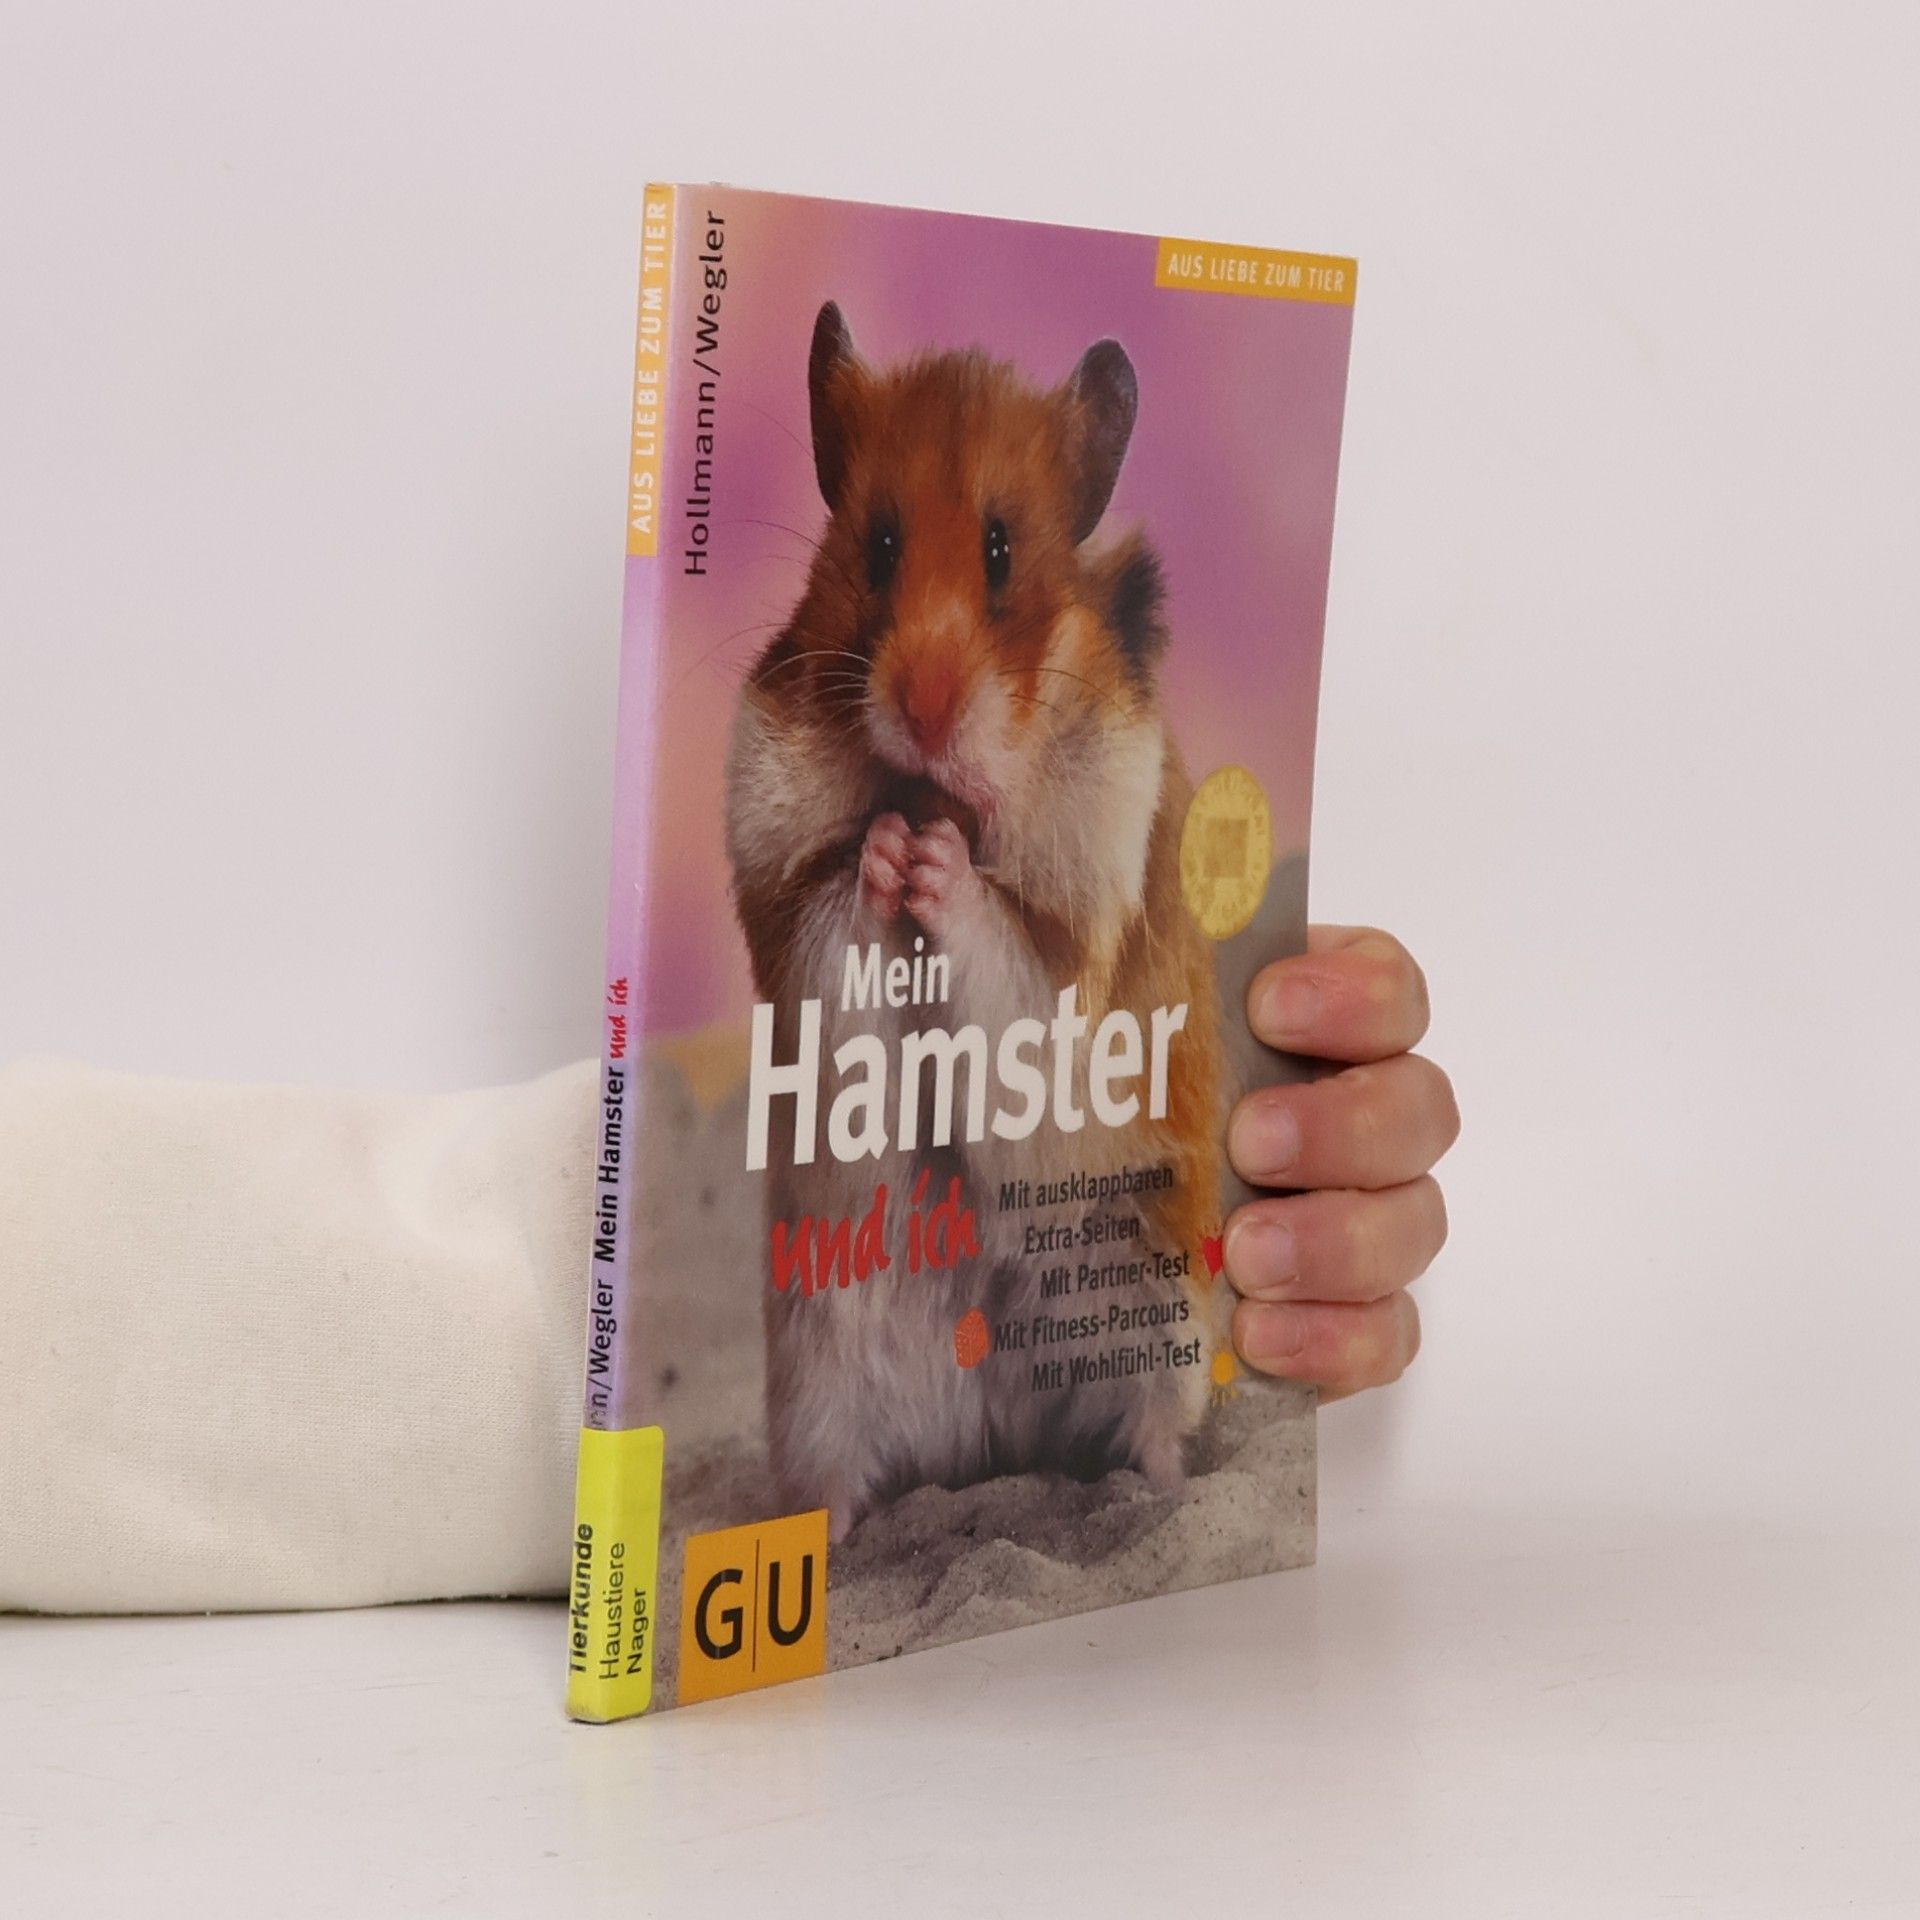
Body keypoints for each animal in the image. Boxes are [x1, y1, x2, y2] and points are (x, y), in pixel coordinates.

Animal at [724, 301, 1226, 1540]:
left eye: (1003, 551)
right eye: (878, 546)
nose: (924, 709)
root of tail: (997, 1446)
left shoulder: (1077, 940)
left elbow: (1009, 943)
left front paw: (934, 861)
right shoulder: (781, 897)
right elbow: (836, 901)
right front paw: (887, 853)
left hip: (1154, 1302)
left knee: (1152, 1428)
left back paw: (1162, 1498)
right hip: (816, 1375)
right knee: (836, 1484)